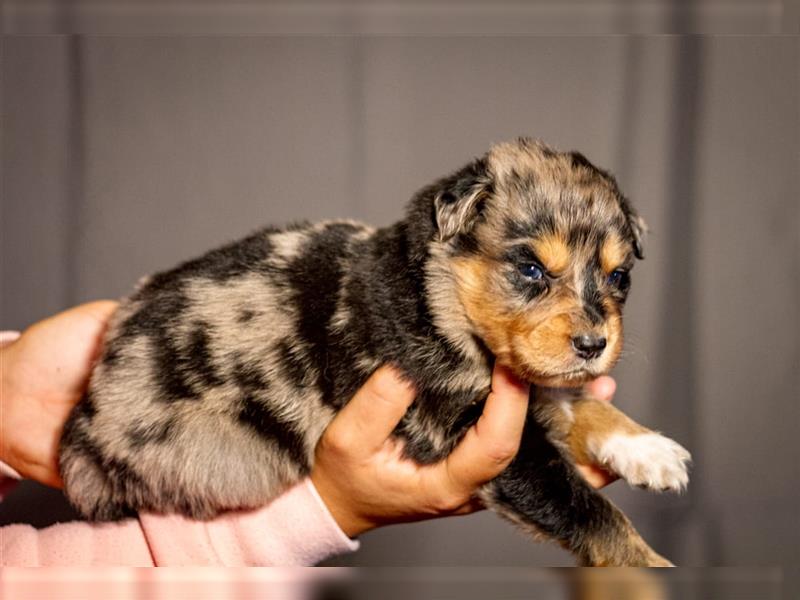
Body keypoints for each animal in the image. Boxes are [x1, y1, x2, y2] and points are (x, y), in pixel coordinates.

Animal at [61, 138, 688, 564]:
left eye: (620, 277)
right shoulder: (481, 433)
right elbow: (590, 511)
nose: (593, 345)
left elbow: (581, 405)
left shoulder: (532, 382)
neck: (437, 296)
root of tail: (82, 421)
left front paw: (649, 449)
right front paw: (651, 565)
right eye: (531, 268)